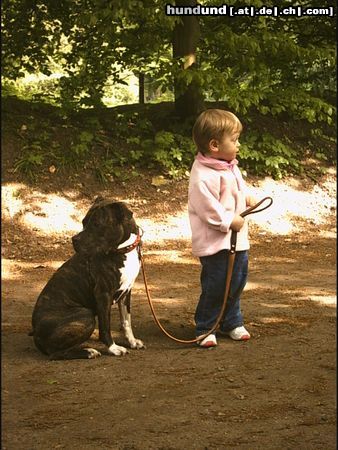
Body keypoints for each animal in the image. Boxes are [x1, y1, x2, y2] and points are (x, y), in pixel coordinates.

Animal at [29, 196, 145, 358]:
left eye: (96, 224)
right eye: (83, 222)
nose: (74, 239)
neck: (124, 250)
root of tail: (36, 334)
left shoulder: (126, 292)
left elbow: (126, 320)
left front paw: (132, 342)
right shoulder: (103, 294)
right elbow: (105, 326)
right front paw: (113, 348)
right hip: (86, 315)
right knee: (55, 353)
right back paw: (88, 351)